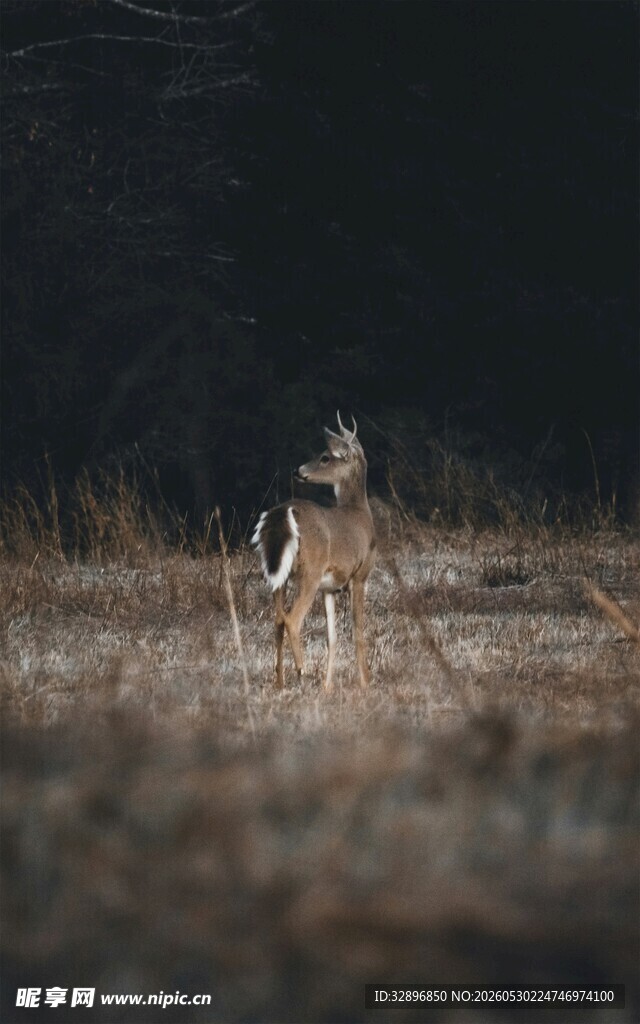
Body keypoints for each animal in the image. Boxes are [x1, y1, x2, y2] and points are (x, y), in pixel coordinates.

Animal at [252, 413, 376, 691]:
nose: (297, 470)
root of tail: (282, 513)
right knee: (291, 619)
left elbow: (332, 637)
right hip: (310, 570)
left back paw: (280, 681)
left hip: (278, 574)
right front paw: (365, 682)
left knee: (278, 619)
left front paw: (328, 687)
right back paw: (301, 670)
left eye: (325, 457)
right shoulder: (360, 575)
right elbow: (357, 631)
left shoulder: (329, 588)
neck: (360, 512)